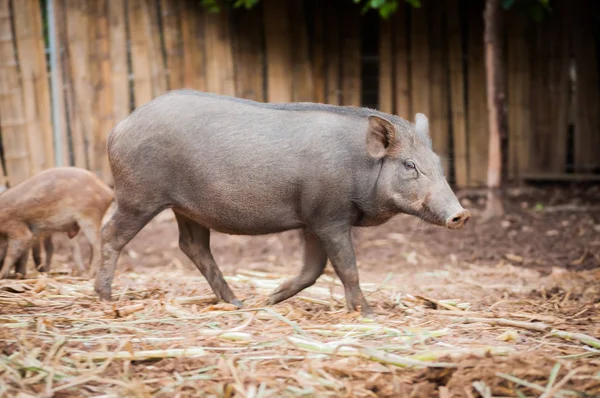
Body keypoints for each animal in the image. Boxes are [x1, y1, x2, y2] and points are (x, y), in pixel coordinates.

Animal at [95, 89, 468, 314]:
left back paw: (238, 302)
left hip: (186, 208)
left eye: (437, 162)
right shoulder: (329, 216)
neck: (358, 164)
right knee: (110, 234)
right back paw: (104, 298)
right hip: (138, 196)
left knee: (192, 246)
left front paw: (269, 298)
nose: (460, 214)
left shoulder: (312, 220)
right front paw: (367, 313)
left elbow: (313, 270)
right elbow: (346, 267)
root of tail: (119, 128)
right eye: (409, 165)